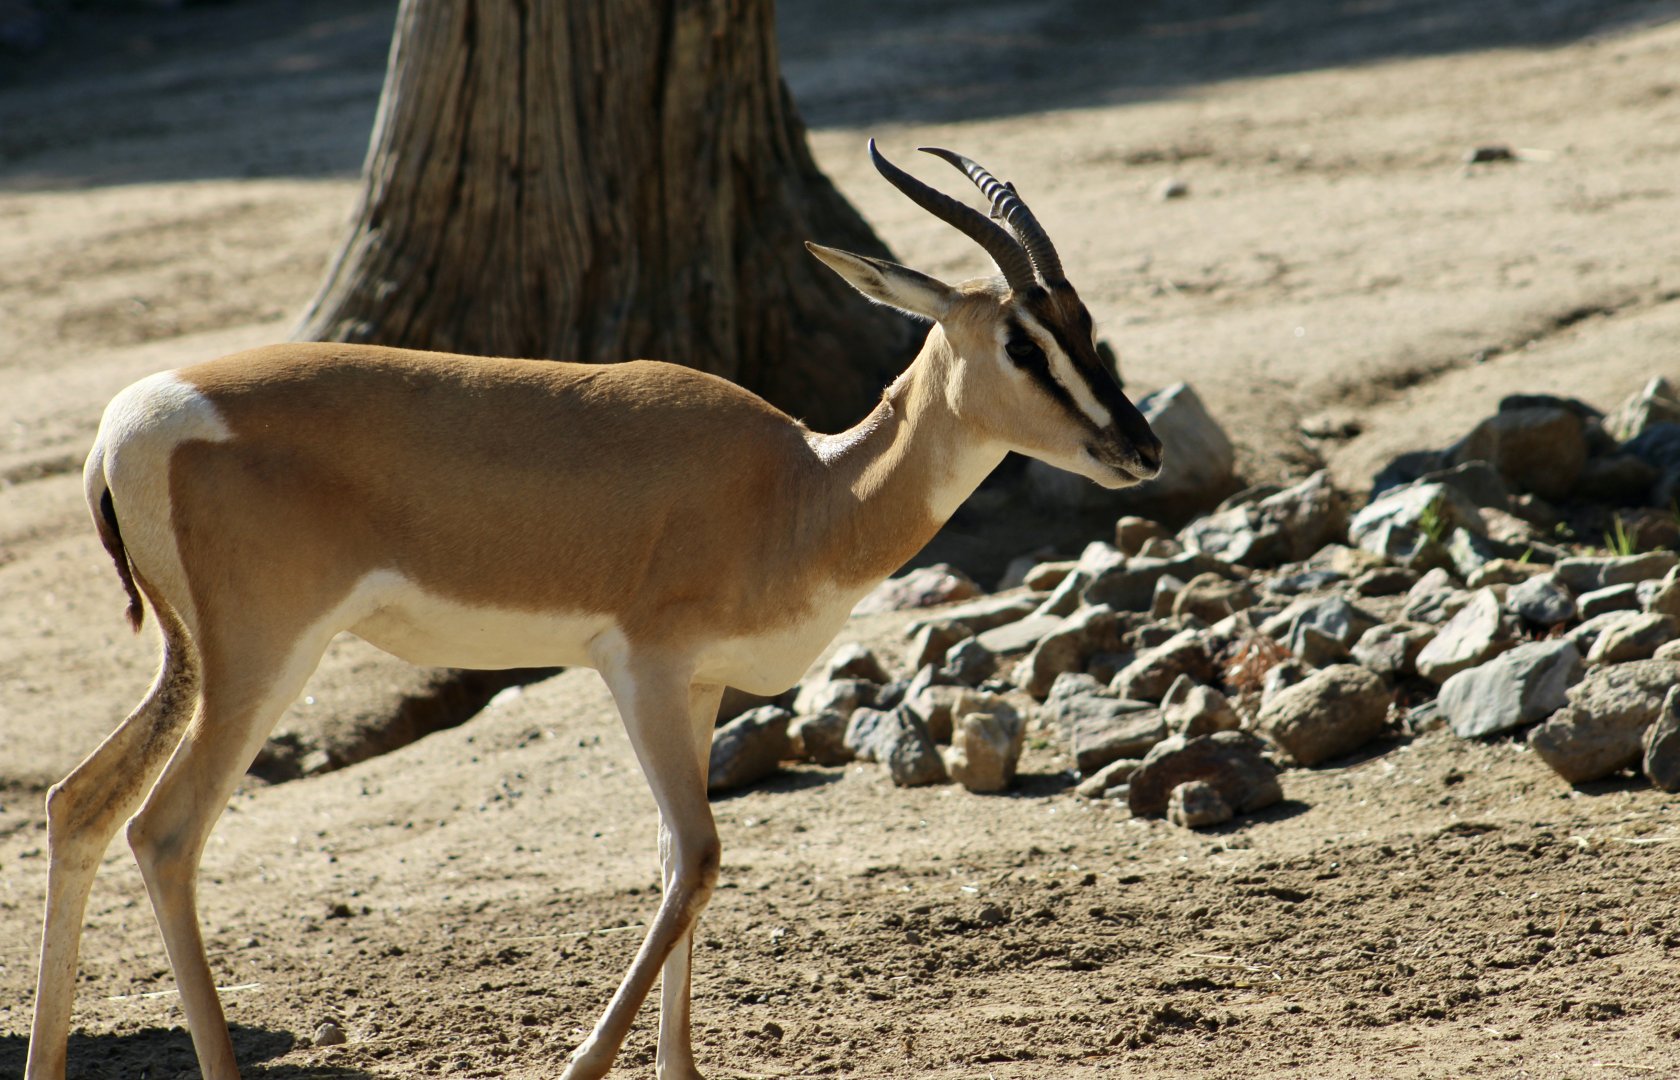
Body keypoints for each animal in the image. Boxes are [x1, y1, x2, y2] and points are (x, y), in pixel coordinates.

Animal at [27, 140, 1162, 1080]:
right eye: (1023, 343)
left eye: (1083, 325)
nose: (1140, 446)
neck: (808, 491)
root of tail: (124, 428)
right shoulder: (645, 670)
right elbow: (699, 855)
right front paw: (583, 1063)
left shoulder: (701, 687)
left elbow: (673, 860)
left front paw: (681, 1070)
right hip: (263, 661)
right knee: (167, 833)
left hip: (192, 664)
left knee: (80, 804)